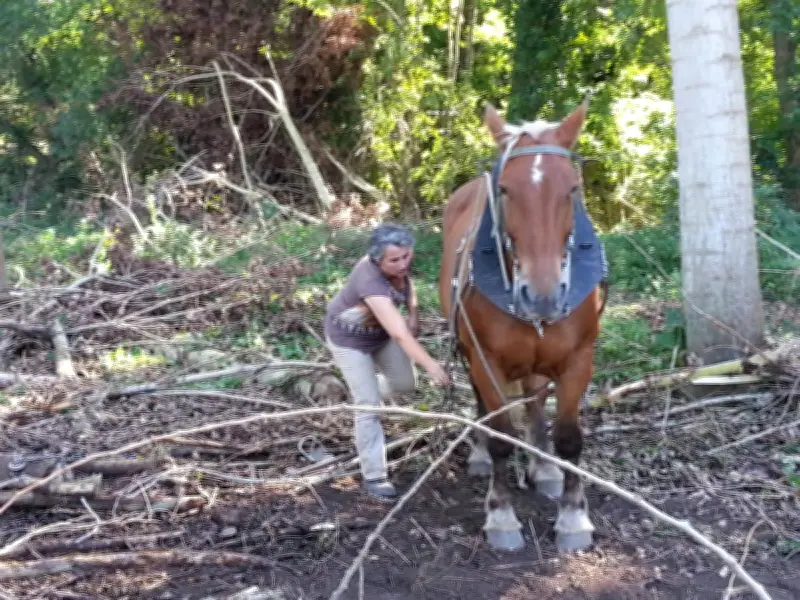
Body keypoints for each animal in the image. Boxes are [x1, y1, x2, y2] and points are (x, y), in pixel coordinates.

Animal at [438, 99, 608, 553]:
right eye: (505, 190)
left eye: (572, 189)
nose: (542, 296)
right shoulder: (485, 359)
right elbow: (500, 436)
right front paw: (501, 516)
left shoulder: (578, 360)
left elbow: (569, 437)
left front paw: (573, 517)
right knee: (485, 407)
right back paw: (482, 455)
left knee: (534, 398)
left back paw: (544, 466)